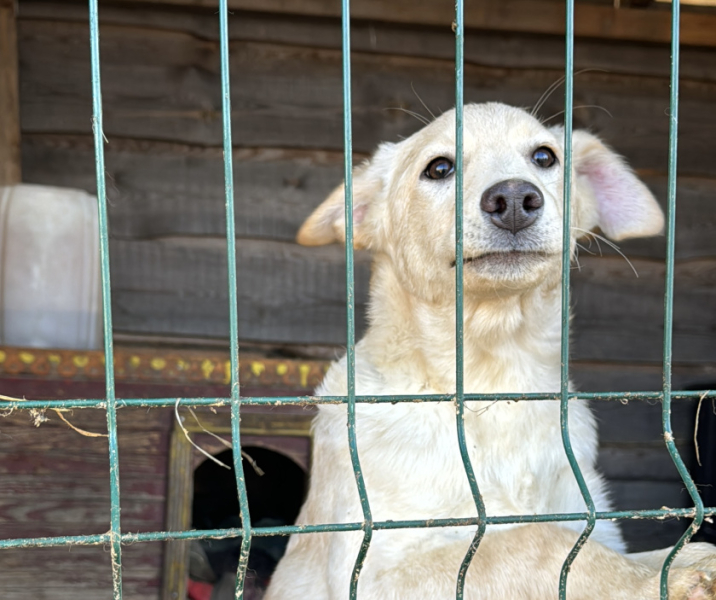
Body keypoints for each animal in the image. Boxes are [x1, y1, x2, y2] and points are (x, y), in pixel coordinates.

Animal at [264, 104, 716, 600]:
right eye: (439, 168)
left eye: (545, 157)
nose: (514, 198)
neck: (497, 381)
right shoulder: (369, 566)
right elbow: (533, 540)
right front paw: (668, 574)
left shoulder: (594, 520)